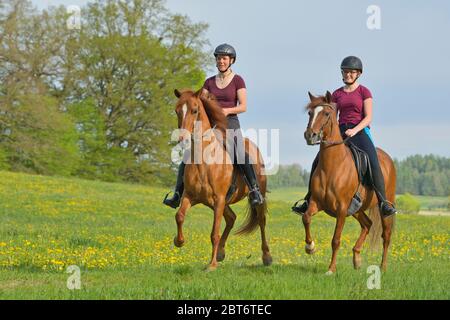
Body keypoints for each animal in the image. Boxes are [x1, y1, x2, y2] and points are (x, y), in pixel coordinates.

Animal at [171, 89, 270, 272]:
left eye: (194, 110)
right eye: (177, 110)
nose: (182, 139)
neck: (204, 161)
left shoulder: (219, 200)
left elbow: (214, 233)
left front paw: (211, 265)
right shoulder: (190, 196)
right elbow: (179, 216)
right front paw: (179, 241)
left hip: (251, 198)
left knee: (261, 221)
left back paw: (267, 256)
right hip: (217, 202)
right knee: (231, 218)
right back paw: (221, 253)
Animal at [302, 91, 394, 274]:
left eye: (326, 113)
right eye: (310, 113)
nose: (310, 135)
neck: (332, 167)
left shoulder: (342, 209)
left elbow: (336, 240)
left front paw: (331, 269)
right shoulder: (316, 203)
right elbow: (306, 217)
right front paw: (310, 247)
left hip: (384, 205)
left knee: (386, 235)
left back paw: (383, 266)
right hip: (357, 208)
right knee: (367, 224)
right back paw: (357, 258)